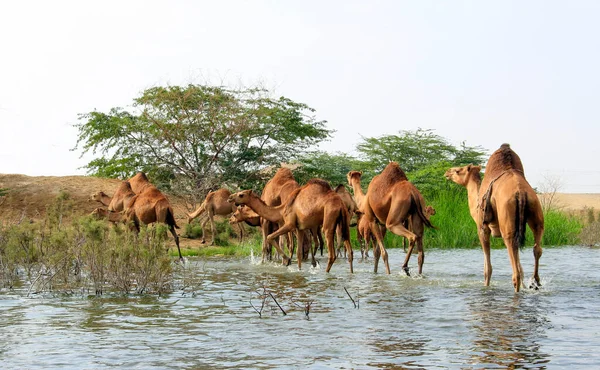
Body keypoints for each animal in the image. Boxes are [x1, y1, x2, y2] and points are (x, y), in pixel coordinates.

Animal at [446, 145, 544, 292]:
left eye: (458, 170)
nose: (446, 172)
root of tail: (521, 192)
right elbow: (521, 267)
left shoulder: (482, 228)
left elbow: (487, 269)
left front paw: (486, 287)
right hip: (536, 211)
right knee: (536, 248)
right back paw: (535, 282)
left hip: (506, 222)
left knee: (515, 269)